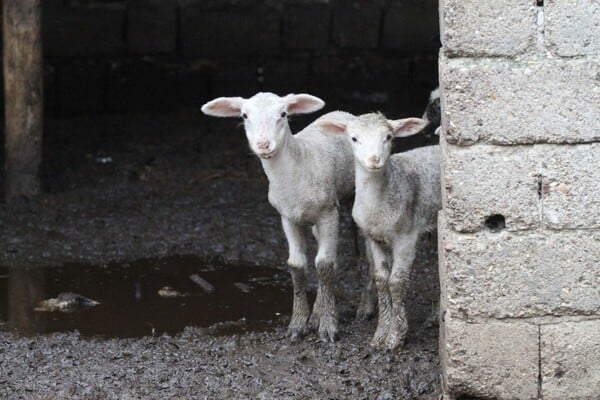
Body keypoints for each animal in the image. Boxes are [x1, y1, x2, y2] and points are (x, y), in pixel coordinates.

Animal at [318, 112, 440, 350]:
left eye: (388, 137)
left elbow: (397, 281)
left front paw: (395, 337)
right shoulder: (373, 237)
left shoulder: (406, 236)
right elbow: (381, 280)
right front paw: (380, 334)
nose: (374, 159)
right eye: (354, 138)